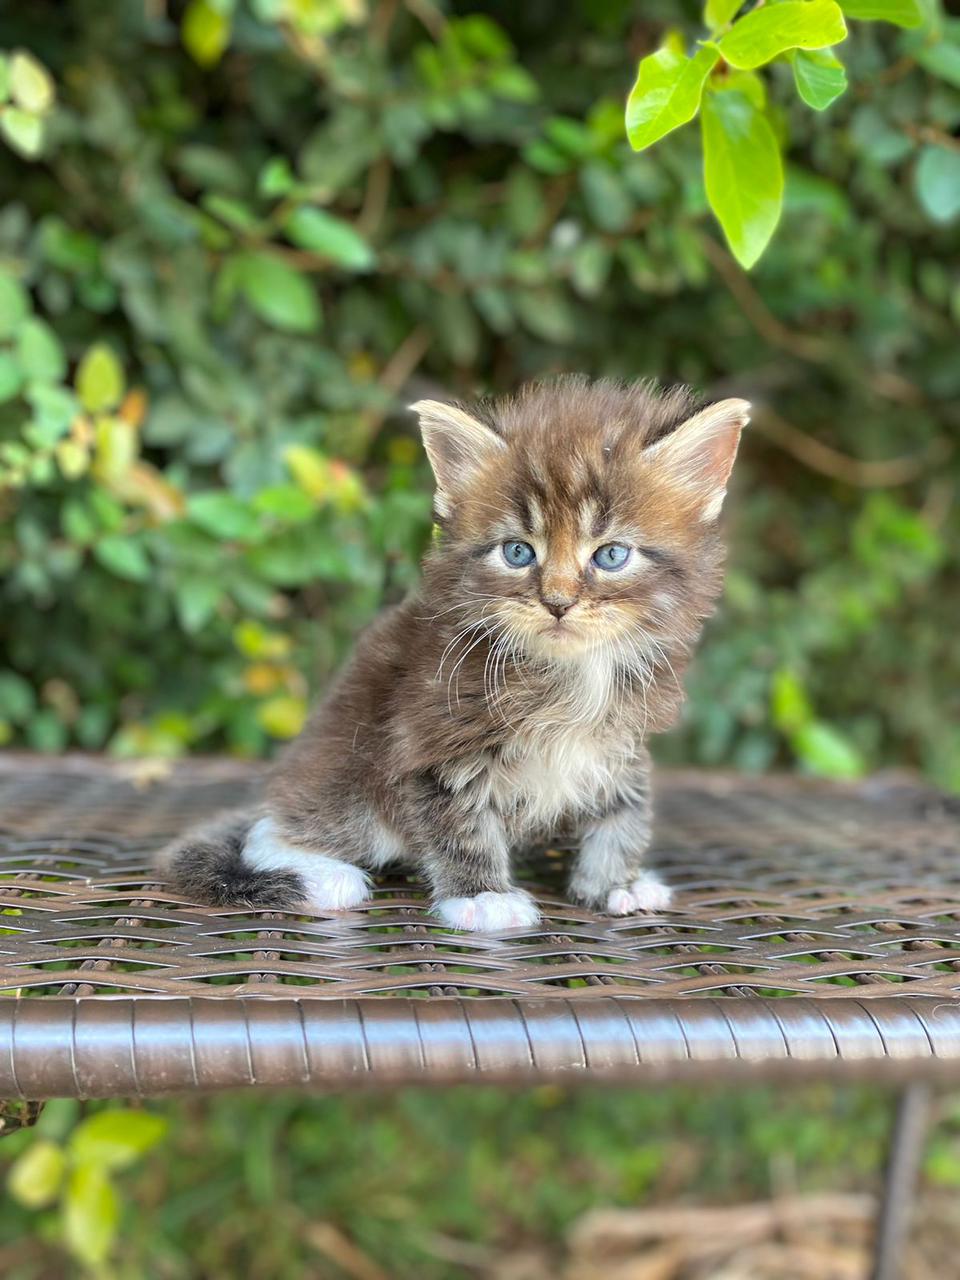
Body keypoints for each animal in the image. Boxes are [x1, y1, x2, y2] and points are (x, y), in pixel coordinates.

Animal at [158, 376, 747, 931]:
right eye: (517, 552)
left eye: (611, 555)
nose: (557, 603)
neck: (567, 674)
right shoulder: (427, 740)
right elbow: (460, 823)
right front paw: (482, 897)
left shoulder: (621, 741)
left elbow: (623, 811)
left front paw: (613, 884)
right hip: (343, 771)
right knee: (275, 828)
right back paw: (323, 876)